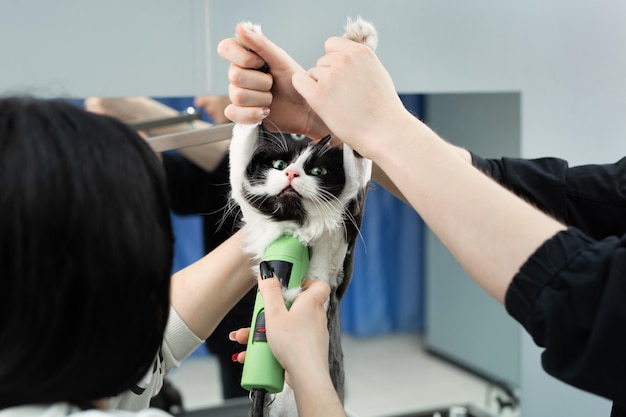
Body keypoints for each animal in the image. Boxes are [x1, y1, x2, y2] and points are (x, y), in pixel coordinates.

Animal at [228, 17, 376, 416]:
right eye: (280, 164)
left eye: (318, 171)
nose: (293, 174)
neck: (297, 223)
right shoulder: (253, 205)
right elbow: (240, 149)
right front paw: (253, 54)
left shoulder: (343, 245)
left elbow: (359, 160)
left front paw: (359, 40)